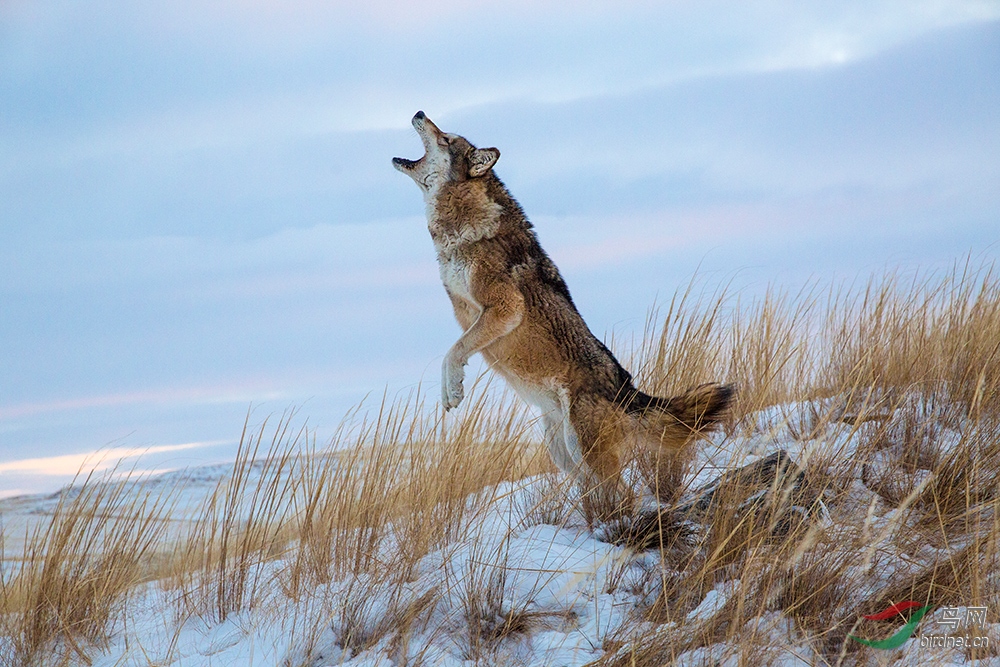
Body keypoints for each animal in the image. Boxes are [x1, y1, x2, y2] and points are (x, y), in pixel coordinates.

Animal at [392, 111, 736, 506]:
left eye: (446, 138)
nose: (419, 113)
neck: (463, 225)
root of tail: (626, 389)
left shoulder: (505, 307)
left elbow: (453, 352)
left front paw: (454, 391)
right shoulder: (459, 302)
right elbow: (455, 347)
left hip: (581, 447)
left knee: (626, 494)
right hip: (563, 452)